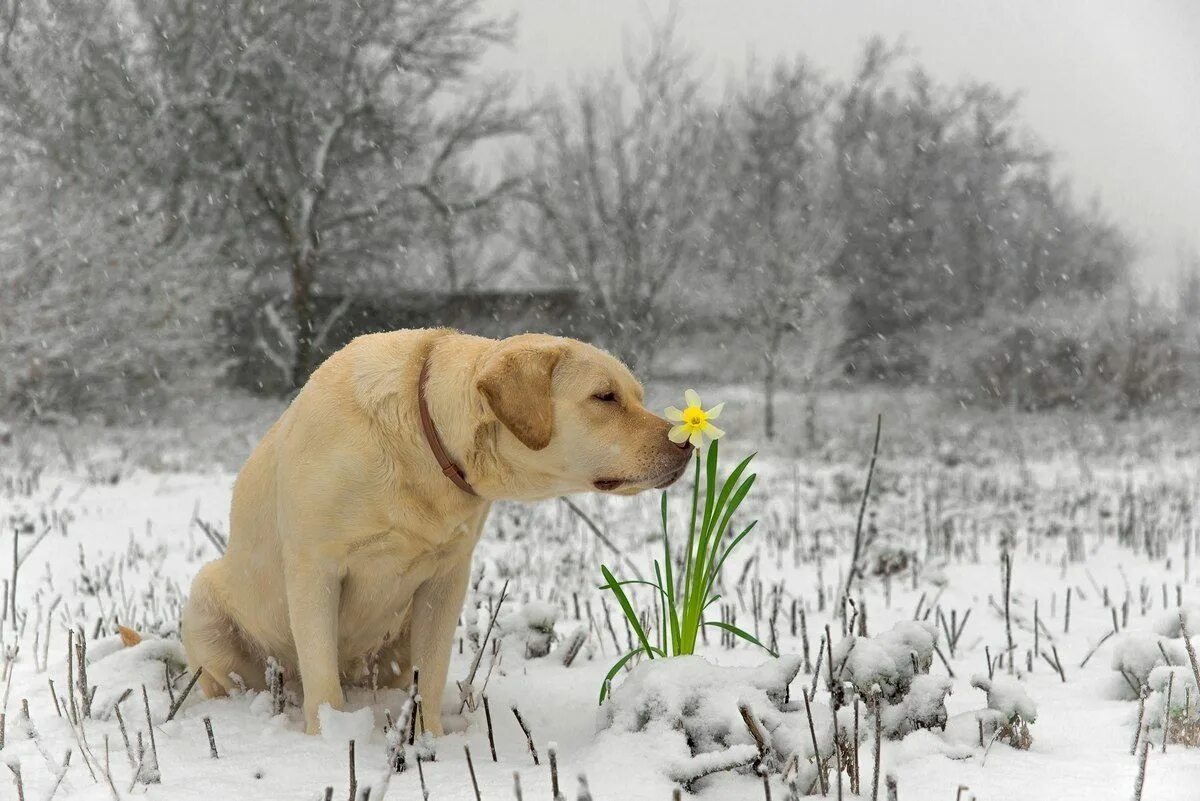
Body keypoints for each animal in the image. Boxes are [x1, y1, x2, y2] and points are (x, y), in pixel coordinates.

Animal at [175, 328, 686, 733]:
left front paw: (429, 740)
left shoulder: (447, 578)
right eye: (605, 397)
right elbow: (321, 679)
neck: (424, 442)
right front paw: (328, 740)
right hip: (204, 600)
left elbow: (433, 672)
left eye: (636, 396)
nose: (684, 444)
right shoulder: (313, 570)